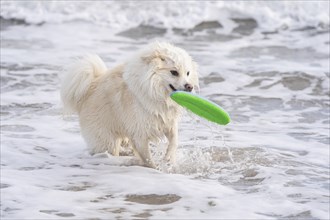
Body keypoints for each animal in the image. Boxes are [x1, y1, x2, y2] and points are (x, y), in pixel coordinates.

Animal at [60, 41, 199, 168]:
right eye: (174, 72)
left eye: (187, 73)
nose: (189, 86)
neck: (153, 89)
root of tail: (88, 89)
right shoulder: (139, 133)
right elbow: (147, 158)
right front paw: (155, 167)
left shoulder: (168, 123)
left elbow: (174, 141)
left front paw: (169, 159)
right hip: (106, 139)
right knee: (106, 152)